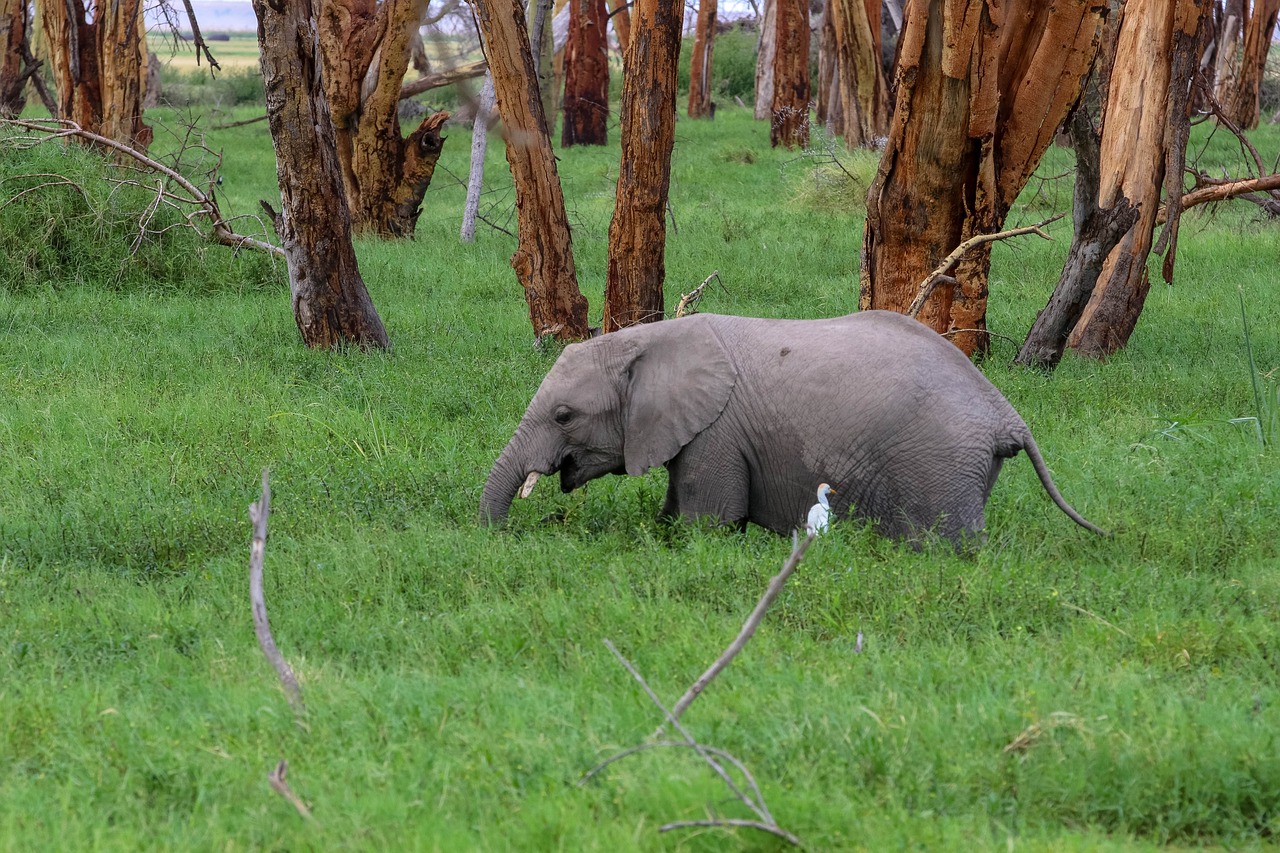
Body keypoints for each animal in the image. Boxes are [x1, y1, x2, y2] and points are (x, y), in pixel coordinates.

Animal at [476, 311, 1105, 545]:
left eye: (564, 416)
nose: (500, 537)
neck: (645, 337)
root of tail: (1006, 416)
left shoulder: (718, 434)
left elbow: (708, 523)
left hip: (940, 462)